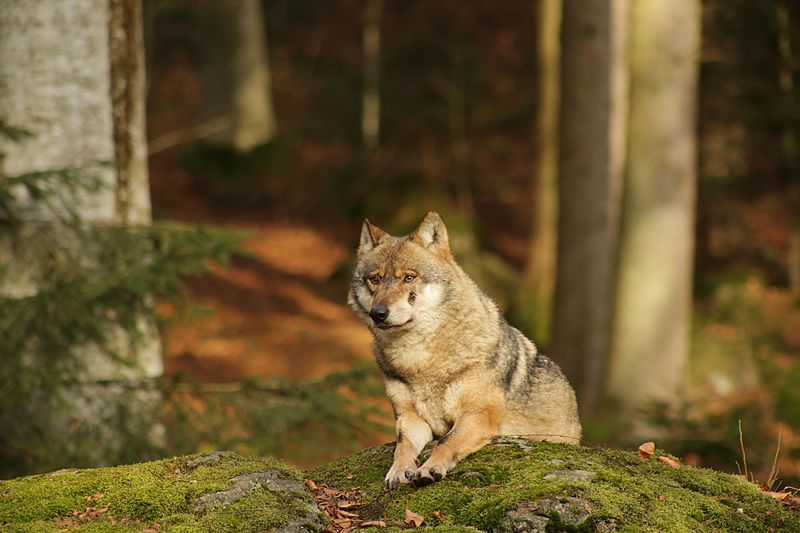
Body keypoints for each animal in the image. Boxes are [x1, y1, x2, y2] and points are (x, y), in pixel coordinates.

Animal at [346, 211, 580, 486]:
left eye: (409, 277)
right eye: (375, 279)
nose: (378, 314)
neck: (419, 360)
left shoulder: (478, 415)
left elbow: (446, 441)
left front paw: (429, 468)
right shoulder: (410, 418)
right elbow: (402, 446)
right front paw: (399, 470)